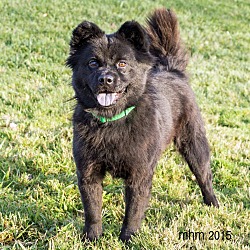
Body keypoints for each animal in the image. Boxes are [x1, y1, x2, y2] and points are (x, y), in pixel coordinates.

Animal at [66, 8, 219, 241]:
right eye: (92, 63)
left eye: (122, 64)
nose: (106, 79)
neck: (112, 122)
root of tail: (172, 69)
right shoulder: (88, 173)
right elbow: (92, 211)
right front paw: (92, 238)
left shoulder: (139, 176)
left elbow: (133, 211)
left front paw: (128, 238)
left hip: (195, 147)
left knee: (205, 177)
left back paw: (213, 204)